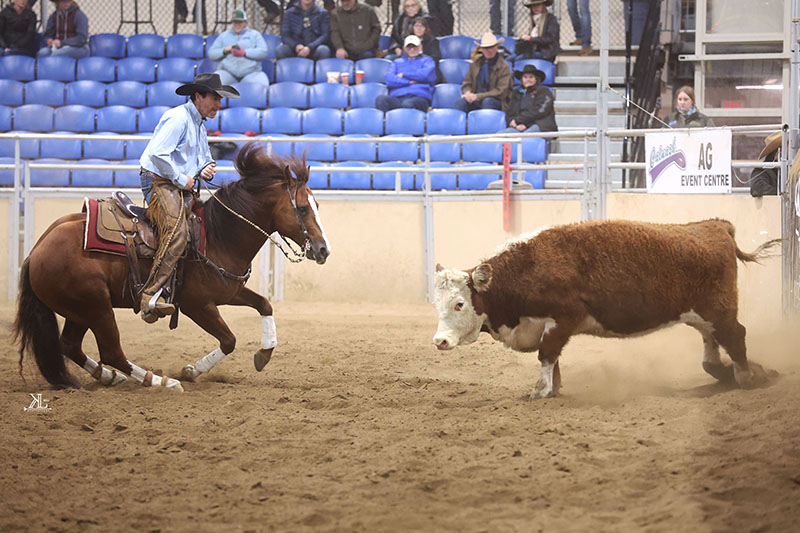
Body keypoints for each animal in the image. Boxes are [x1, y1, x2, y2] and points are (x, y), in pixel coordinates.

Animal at [14, 144, 331, 392]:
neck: (218, 236)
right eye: (303, 208)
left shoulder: (229, 292)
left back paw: (108, 377)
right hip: (96, 306)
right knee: (112, 351)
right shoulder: (196, 304)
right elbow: (229, 339)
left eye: (317, 206)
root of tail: (36, 251)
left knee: (70, 345)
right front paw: (190, 372)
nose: (323, 249)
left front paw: (263, 354)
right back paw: (160, 382)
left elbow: (265, 304)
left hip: (80, 309)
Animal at [432, 219, 780, 400]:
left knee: (736, 337)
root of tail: (714, 226)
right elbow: (553, 360)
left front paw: (541, 391)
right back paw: (729, 373)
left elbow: (546, 355)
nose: (439, 341)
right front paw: (554, 387)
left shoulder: (564, 318)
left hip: (720, 310)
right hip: (703, 314)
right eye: (437, 303)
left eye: (459, 303)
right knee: (711, 349)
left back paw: (747, 376)